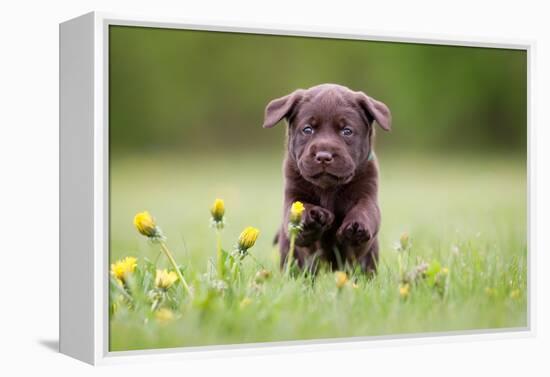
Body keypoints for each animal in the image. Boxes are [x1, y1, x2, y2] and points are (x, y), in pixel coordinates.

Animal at [264, 83, 390, 274]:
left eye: (347, 131)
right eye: (307, 129)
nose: (324, 156)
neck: (328, 188)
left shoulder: (368, 192)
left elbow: (366, 209)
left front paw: (356, 226)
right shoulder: (292, 194)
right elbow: (297, 210)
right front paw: (313, 217)